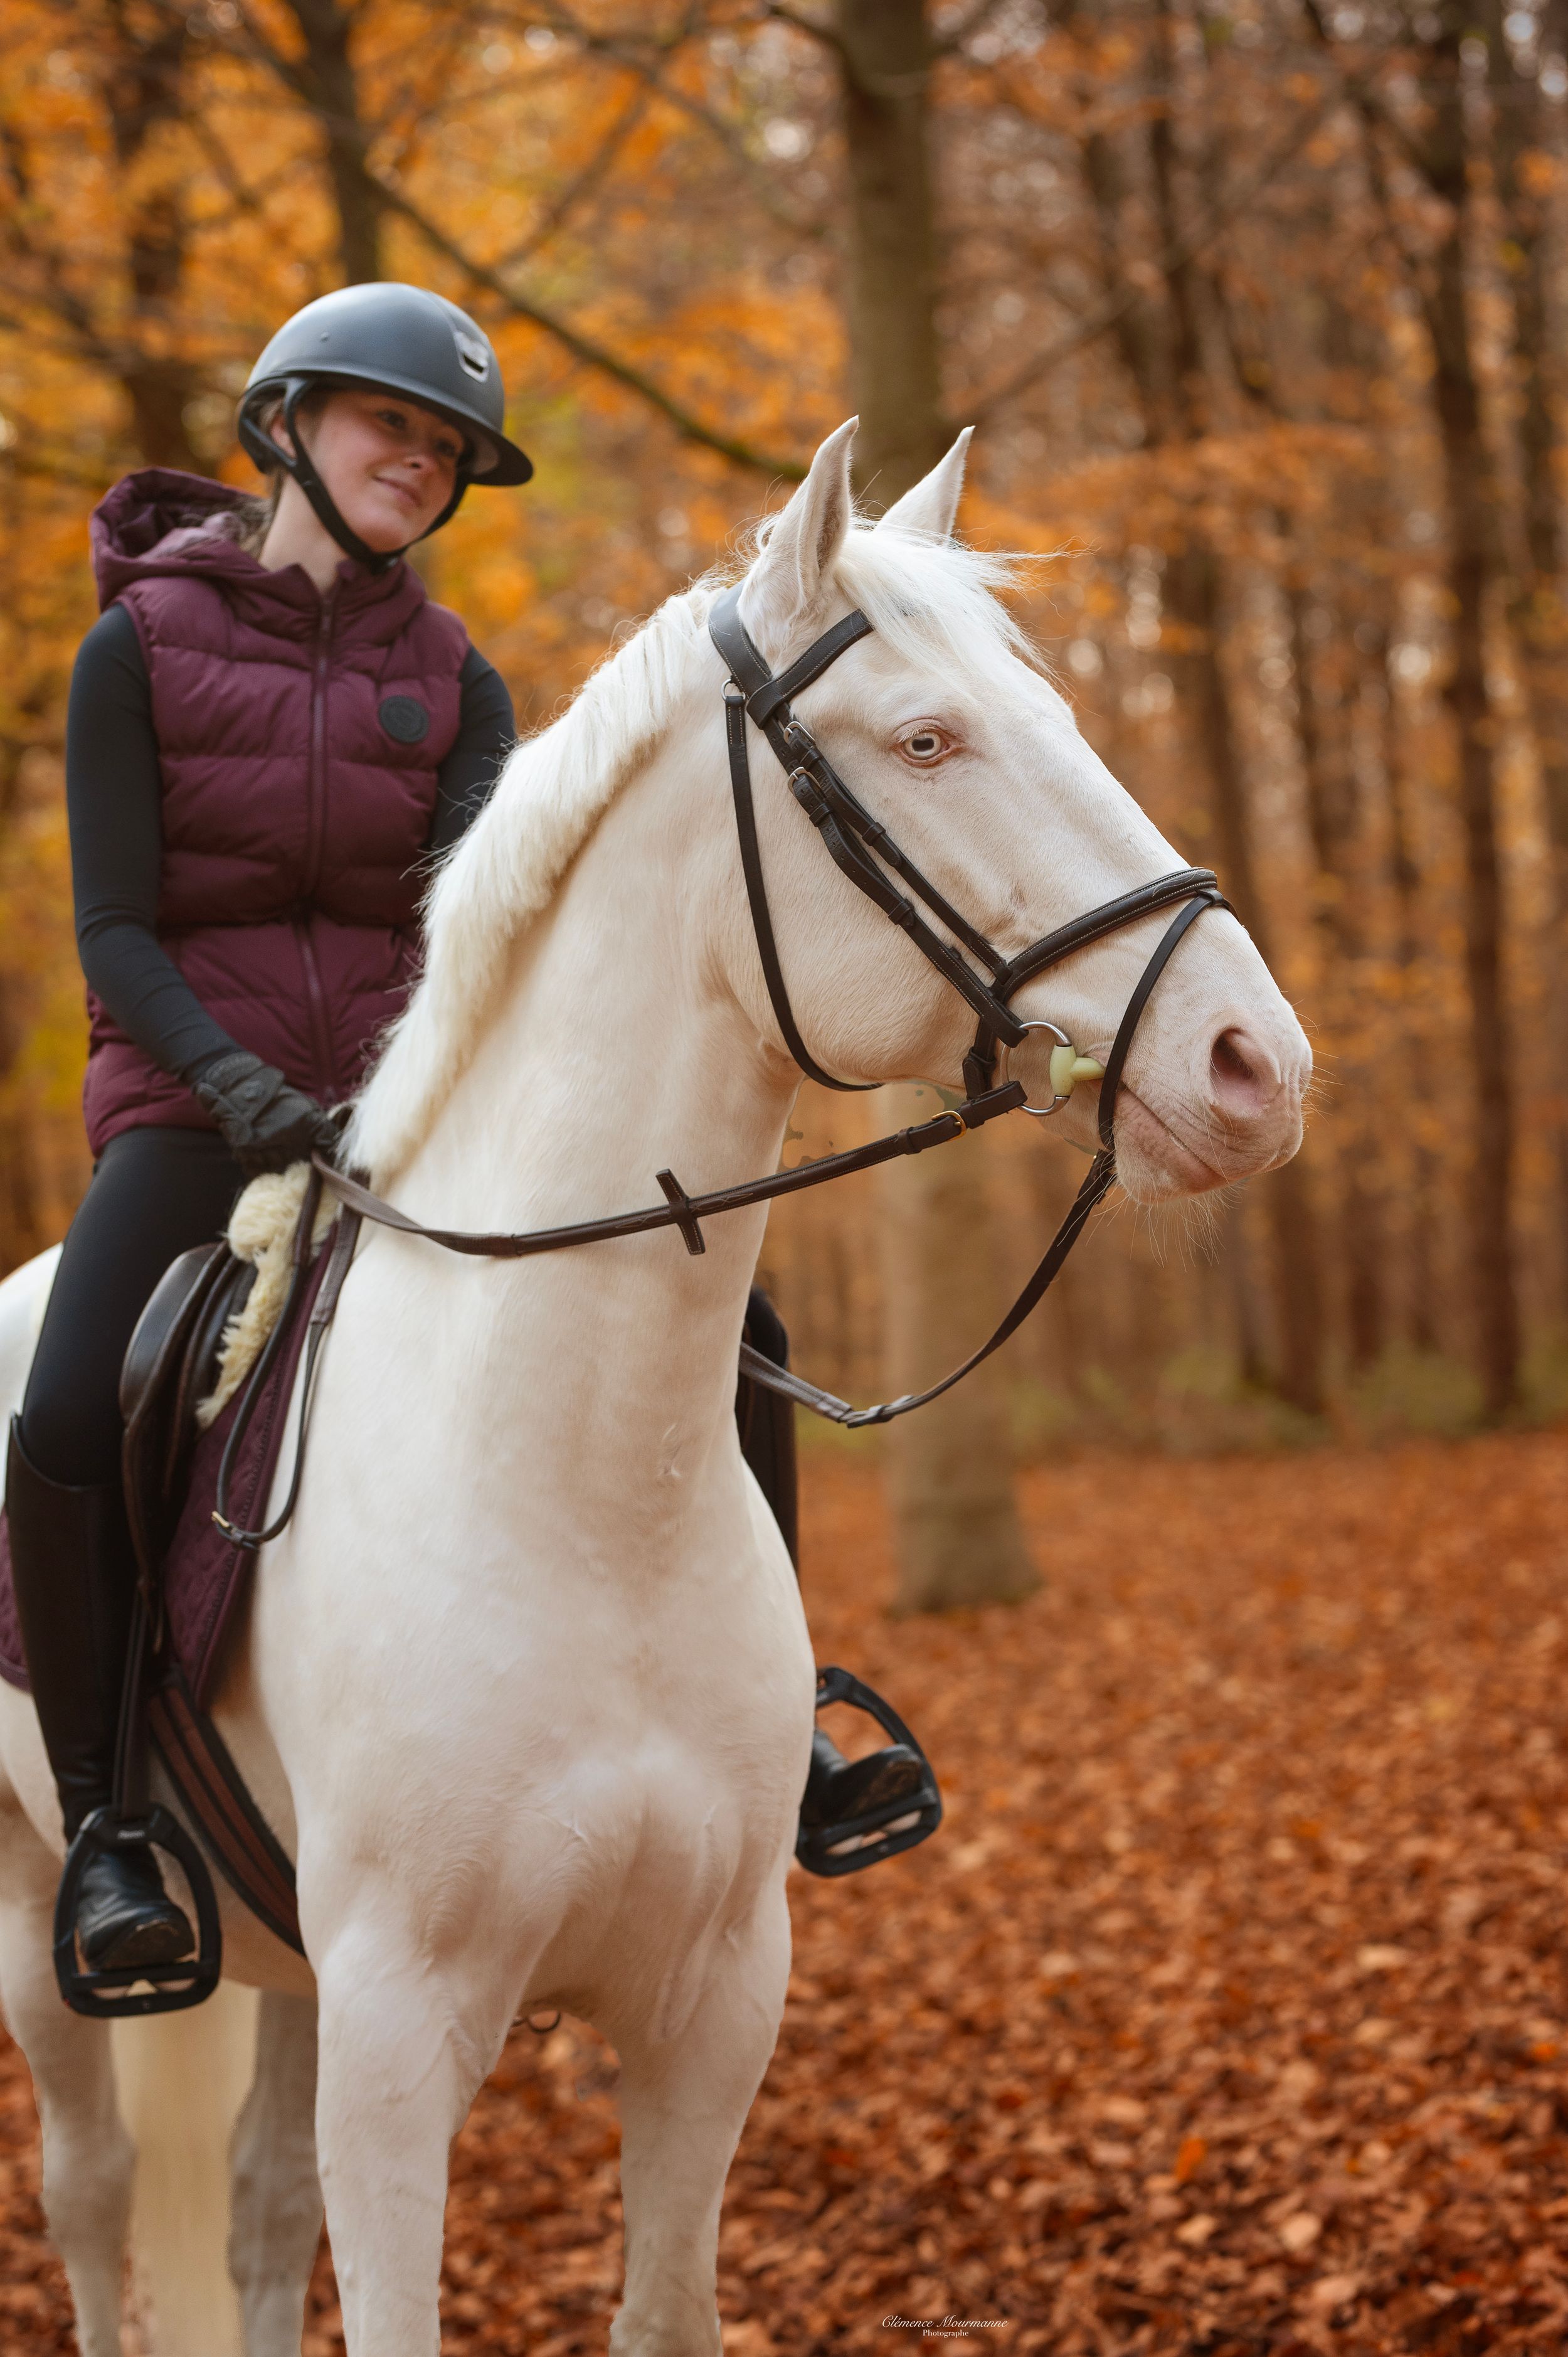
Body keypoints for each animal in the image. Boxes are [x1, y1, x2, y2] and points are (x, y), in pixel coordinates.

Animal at [0, 419, 1311, 2357]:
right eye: (926, 741)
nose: (1252, 1065)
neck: (575, 1481)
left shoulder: (710, 2002)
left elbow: (660, 2303)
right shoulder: (401, 2036)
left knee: (247, 2210)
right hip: (40, 1909)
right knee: (95, 2194)